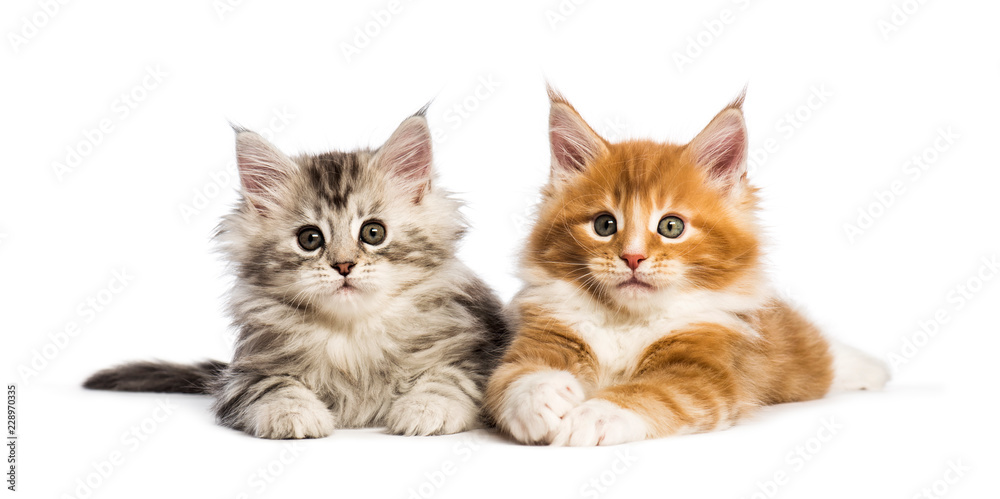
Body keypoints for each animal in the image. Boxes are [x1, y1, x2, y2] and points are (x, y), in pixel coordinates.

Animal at [85, 108, 508, 438]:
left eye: (373, 233)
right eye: (310, 239)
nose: (343, 265)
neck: (351, 336)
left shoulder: (473, 358)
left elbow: (448, 379)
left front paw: (424, 409)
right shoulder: (245, 376)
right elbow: (275, 388)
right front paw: (294, 414)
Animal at [480, 88, 888, 448]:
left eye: (671, 226)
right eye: (604, 225)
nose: (633, 257)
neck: (627, 320)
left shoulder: (706, 372)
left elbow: (654, 393)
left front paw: (595, 415)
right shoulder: (544, 336)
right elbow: (514, 375)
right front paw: (542, 399)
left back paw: (872, 371)